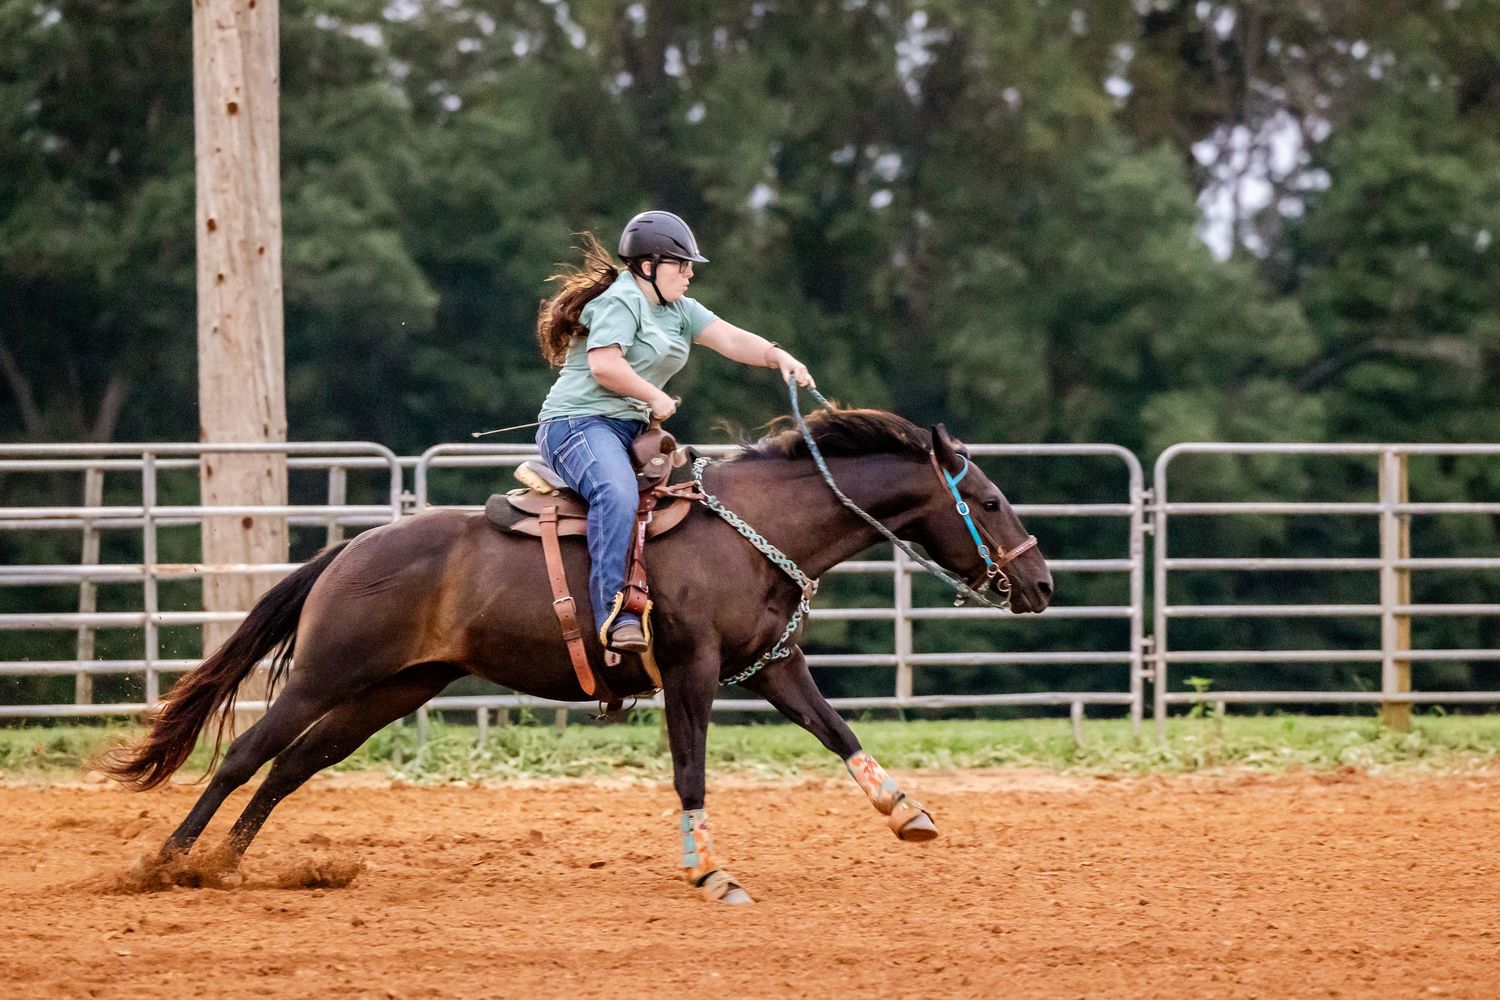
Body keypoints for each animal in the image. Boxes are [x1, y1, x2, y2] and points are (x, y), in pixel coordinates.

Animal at [101, 408, 1053, 903]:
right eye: (990, 500)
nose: (1040, 583)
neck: (754, 530)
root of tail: (349, 549)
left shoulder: (773, 668)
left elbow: (841, 733)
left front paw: (908, 811)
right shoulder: (694, 673)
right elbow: (691, 770)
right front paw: (709, 872)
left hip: (391, 691)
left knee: (293, 765)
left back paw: (226, 865)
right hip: (326, 676)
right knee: (245, 755)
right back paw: (167, 864)